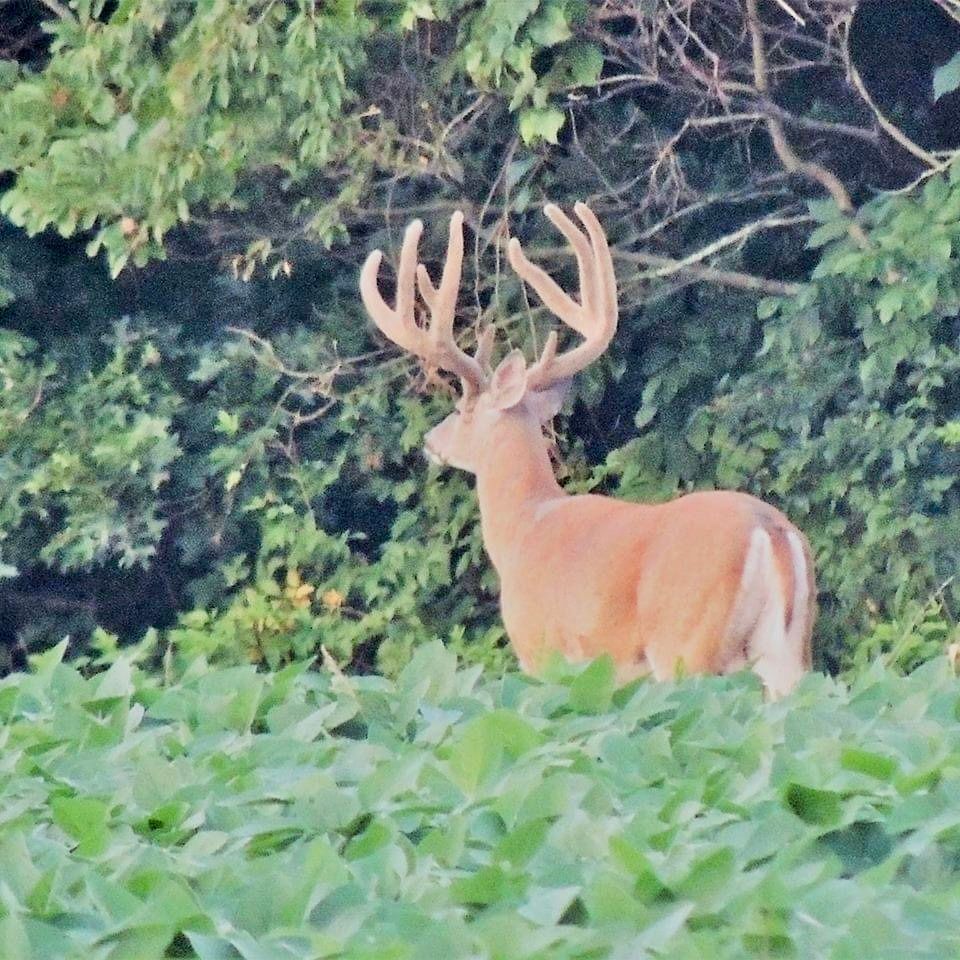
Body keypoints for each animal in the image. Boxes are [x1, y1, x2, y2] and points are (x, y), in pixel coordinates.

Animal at [359, 203, 815, 697]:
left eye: (463, 409)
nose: (431, 441)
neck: (524, 525)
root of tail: (770, 530)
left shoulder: (542, 653)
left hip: (685, 643)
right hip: (787, 649)